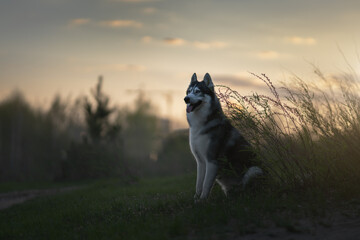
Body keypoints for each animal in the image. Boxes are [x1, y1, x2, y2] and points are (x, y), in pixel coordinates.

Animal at [186, 72, 262, 200]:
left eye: (197, 91)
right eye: (188, 91)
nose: (186, 99)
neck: (200, 125)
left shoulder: (212, 160)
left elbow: (206, 185)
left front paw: (202, 201)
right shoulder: (200, 162)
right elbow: (199, 184)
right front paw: (196, 200)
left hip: (254, 170)